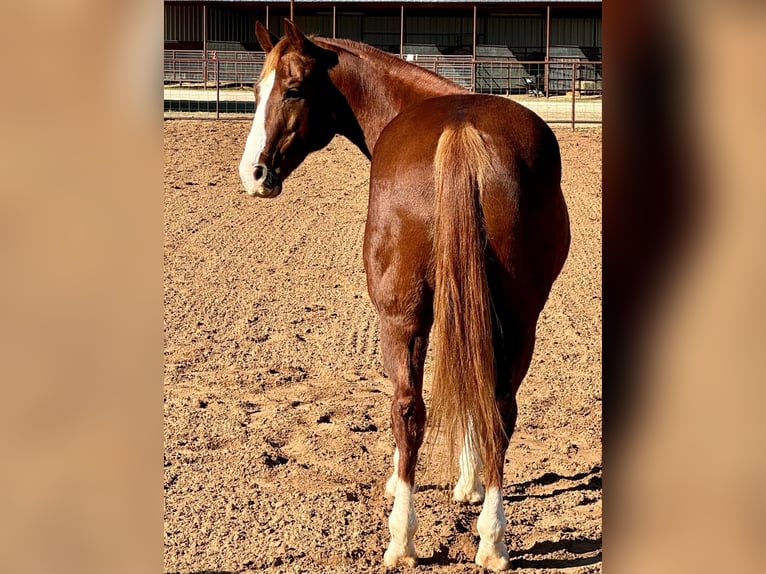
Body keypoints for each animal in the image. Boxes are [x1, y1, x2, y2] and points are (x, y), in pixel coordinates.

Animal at [238, 18, 568, 572]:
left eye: (294, 89)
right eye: (256, 91)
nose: (253, 173)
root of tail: (461, 132)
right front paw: (469, 483)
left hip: (400, 316)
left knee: (407, 410)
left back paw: (402, 538)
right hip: (520, 318)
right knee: (499, 410)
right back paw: (492, 541)